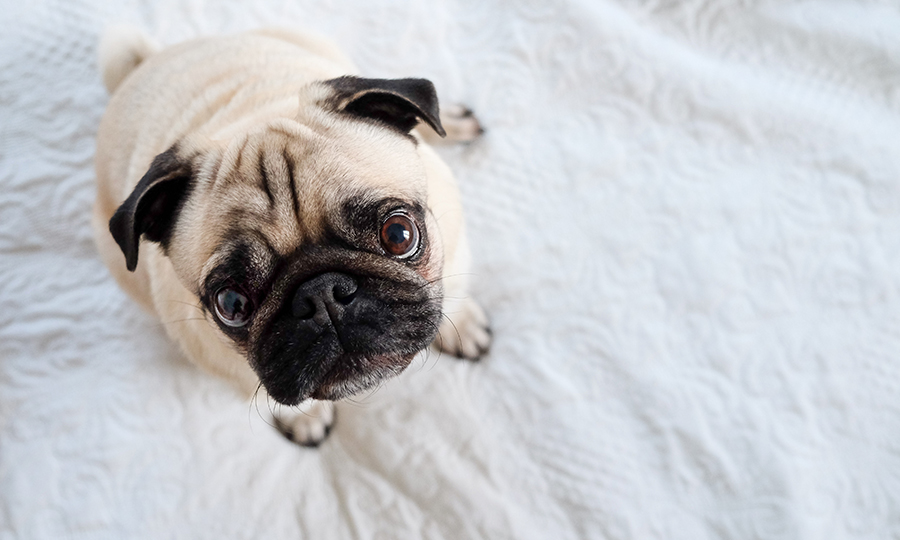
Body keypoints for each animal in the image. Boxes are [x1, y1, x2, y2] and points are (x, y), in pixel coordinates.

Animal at [93, 27, 492, 446]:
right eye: (231, 304)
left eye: (398, 235)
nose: (323, 295)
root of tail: (145, 62)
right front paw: (306, 417)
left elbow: (453, 296)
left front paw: (462, 325)